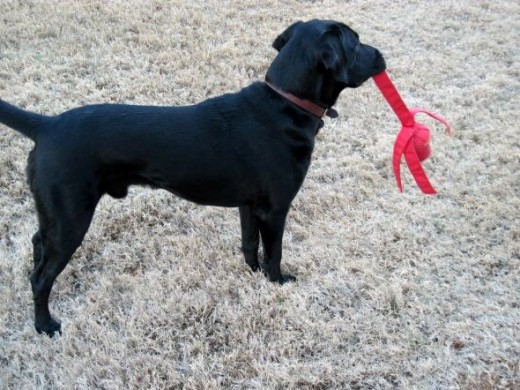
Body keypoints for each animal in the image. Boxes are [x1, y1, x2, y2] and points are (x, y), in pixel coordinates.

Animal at [1, 19, 386, 336]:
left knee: (37, 244)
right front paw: (277, 281)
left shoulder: (249, 205)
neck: (287, 102)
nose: (382, 55)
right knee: (41, 277)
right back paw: (45, 326)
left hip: (56, 214)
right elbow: (274, 252)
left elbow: (249, 244)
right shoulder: (275, 209)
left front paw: (253, 275)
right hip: (71, 218)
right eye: (356, 42)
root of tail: (47, 125)